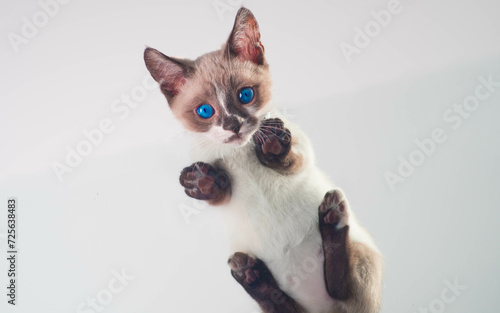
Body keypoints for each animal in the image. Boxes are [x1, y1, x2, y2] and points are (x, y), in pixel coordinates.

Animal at [144, 7, 382, 312]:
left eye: (245, 95)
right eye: (205, 111)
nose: (233, 125)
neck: (241, 151)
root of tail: (323, 311)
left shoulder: (302, 153)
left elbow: (290, 158)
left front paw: (271, 144)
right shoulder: (220, 192)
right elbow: (216, 191)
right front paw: (202, 181)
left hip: (361, 258)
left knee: (340, 287)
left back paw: (332, 217)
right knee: (281, 304)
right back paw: (250, 273)